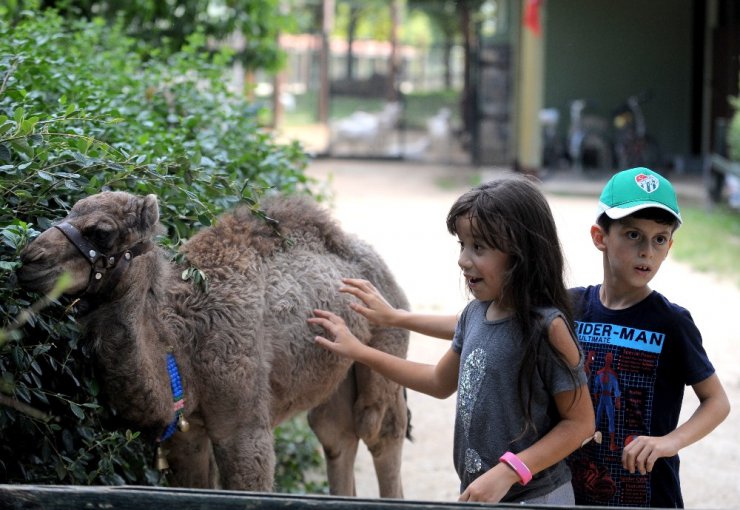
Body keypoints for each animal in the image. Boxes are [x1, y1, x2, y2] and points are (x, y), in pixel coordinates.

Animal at [15, 189, 410, 496]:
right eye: (70, 211)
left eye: (101, 232)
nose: (29, 259)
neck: (181, 343)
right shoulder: (184, 434)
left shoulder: (244, 427)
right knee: (336, 435)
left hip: (386, 345)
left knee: (379, 430)